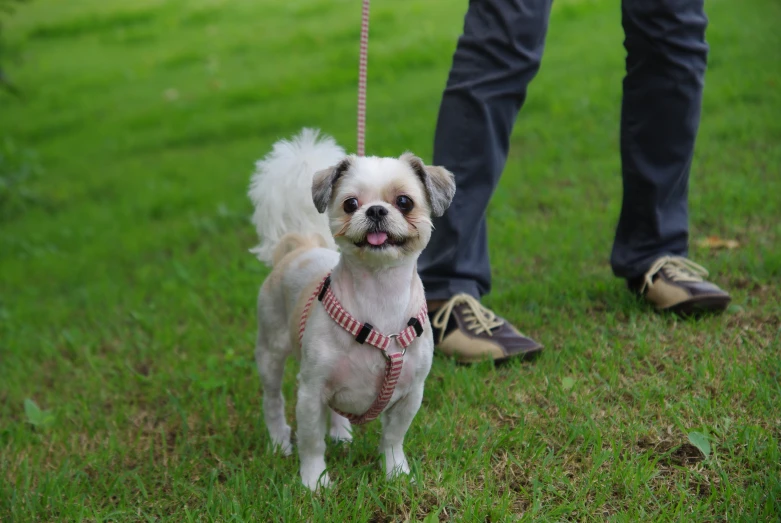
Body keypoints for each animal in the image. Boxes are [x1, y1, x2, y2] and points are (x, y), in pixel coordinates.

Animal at [250, 129, 454, 490]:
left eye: (404, 202)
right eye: (350, 204)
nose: (375, 210)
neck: (379, 296)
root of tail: (302, 245)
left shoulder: (410, 393)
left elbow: (393, 438)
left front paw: (395, 472)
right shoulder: (311, 391)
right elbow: (311, 442)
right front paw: (314, 482)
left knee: (335, 409)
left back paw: (341, 433)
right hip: (270, 352)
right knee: (273, 400)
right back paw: (277, 441)